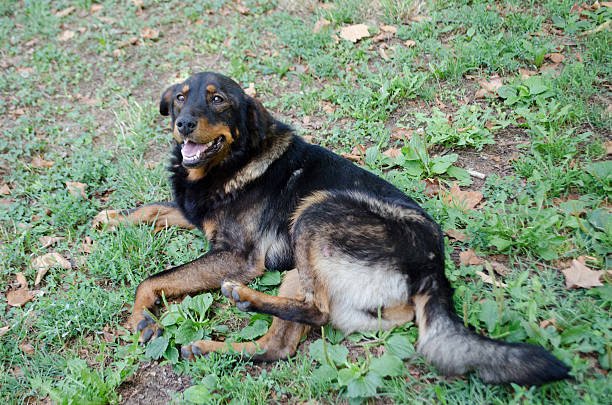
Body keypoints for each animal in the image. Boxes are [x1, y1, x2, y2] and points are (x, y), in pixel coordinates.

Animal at [95, 72, 568, 386]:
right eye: (179, 98)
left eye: (217, 100)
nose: (184, 125)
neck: (231, 162)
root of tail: (433, 267)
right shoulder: (196, 215)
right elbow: (153, 209)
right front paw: (110, 218)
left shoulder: (237, 256)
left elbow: (152, 278)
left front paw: (142, 320)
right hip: (298, 272)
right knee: (280, 345)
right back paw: (214, 344)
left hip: (315, 212)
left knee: (316, 312)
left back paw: (244, 298)